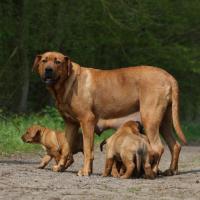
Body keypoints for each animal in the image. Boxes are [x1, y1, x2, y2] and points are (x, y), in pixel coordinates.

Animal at [33, 52, 188, 177]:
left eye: (58, 62)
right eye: (44, 61)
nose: (48, 70)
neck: (67, 83)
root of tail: (168, 76)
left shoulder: (87, 121)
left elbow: (88, 150)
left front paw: (85, 171)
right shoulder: (71, 124)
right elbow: (66, 148)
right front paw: (60, 166)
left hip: (150, 118)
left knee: (158, 148)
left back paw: (153, 171)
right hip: (164, 122)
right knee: (175, 146)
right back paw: (171, 170)